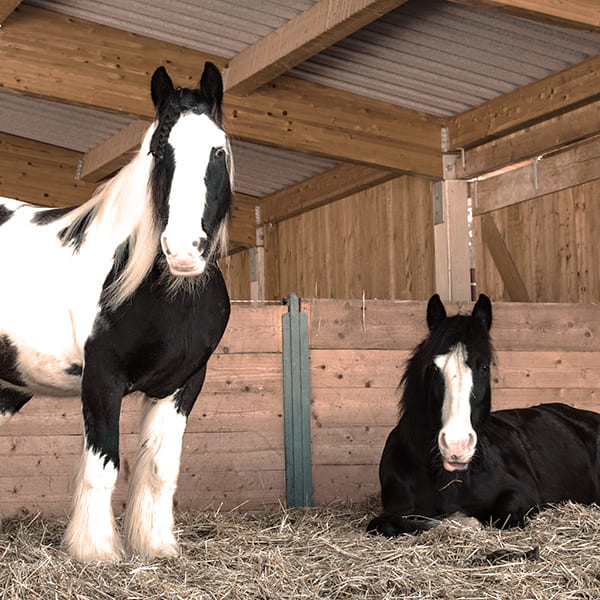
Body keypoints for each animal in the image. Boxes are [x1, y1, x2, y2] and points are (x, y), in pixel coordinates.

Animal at [0, 63, 233, 560]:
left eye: (218, 151)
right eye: (159, 151)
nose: (183, 250)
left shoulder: (183, 385)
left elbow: (160, 468)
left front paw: (156, 545)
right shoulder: (102, 380)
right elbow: (102, 466)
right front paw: (96, 551)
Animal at [368, 294, 600, 536]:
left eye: (485, 367)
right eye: (434, 368)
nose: (457, 445)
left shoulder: (521, 494)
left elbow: (500, 514)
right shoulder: (393, 512)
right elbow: (389, 523)